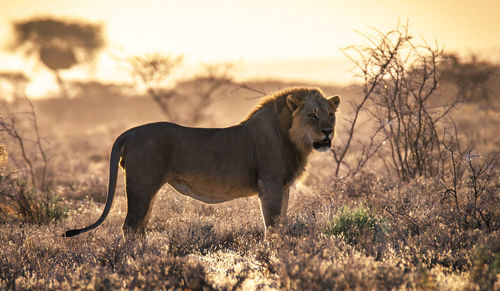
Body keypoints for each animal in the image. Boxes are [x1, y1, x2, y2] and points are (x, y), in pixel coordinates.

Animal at [63, 88, 340, 238]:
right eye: (312, 115)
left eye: (331, 114)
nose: (328, 132)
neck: (292, 138)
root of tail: (128, 133)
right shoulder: (270, 185)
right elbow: (271, 227)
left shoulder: (283, 187)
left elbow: (281, 224)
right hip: (141, 185)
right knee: (130, 227)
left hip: (149, 188)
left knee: (140, 227)